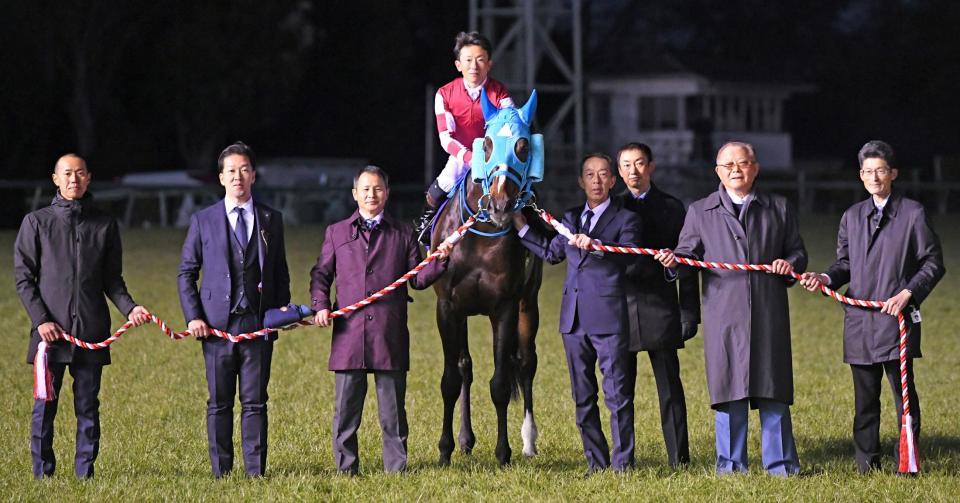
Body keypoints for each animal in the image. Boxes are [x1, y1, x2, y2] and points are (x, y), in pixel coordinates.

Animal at [432, 88, 544, 466]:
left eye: (523, 145)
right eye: (488, 144)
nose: (499, 205)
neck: (481, 234)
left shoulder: (505, 306)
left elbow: (500, 383)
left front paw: (503, 452)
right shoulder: (447, 306)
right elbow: (451, 378)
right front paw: (446, 449)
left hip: (529, 303)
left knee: (525, 363)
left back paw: (528, 441)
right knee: (465, 366)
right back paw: (465, 440)